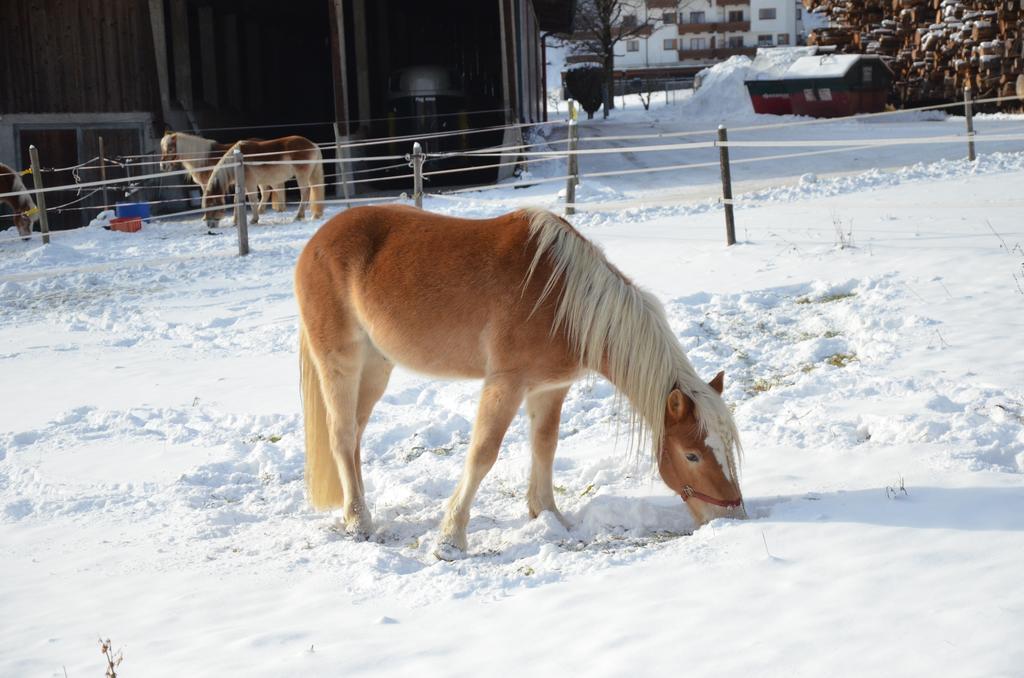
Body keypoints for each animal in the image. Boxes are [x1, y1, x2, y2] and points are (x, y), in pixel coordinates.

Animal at [294, 206, 745, 561]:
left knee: (355, 437)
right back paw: (358, 523)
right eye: (691, 455)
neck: (563, 297)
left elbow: (545, 446)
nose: (732, 517)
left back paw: (358, 511)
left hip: (377, 367)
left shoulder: (549, 389)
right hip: (342, 363)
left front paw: (548, 516)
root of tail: (315, 242)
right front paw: (450, 540)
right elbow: (482, 454)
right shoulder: (505, 385)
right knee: (341, 435)